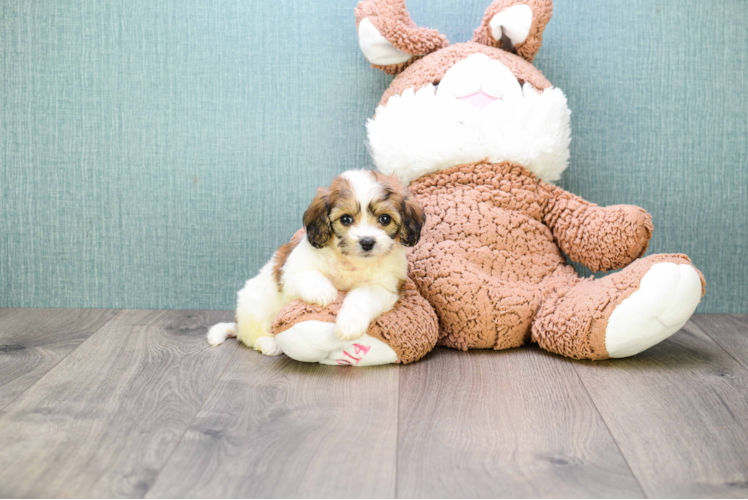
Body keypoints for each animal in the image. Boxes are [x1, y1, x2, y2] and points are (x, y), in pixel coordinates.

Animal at [207, 171, 424, 356]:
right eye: (346, 219)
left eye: (385, 219)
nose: (367, 242)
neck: (350, 263)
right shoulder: (291, 272)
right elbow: (307, 275)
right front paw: (323, 292)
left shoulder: (386, 286)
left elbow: (363, 295)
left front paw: (350, 323)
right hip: (255, 308)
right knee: (250, 336)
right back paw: (269, 343)